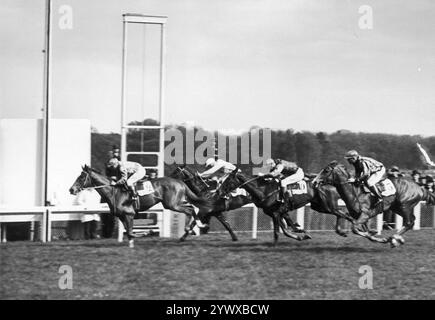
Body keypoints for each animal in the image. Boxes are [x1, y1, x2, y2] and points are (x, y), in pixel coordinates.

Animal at [69, 165, 212, 248]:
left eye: (81, 177)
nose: (71, 189)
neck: (113, 191)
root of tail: (180, 182)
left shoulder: (129, 214)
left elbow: (131, 232)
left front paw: (146, 233)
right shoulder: (122, 216)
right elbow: (129, 233)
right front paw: (136, 240)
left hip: (172, 204)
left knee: (190, 209)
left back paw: (194, 227)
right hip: (172, 203)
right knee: (191, 208)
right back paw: (189, 231)